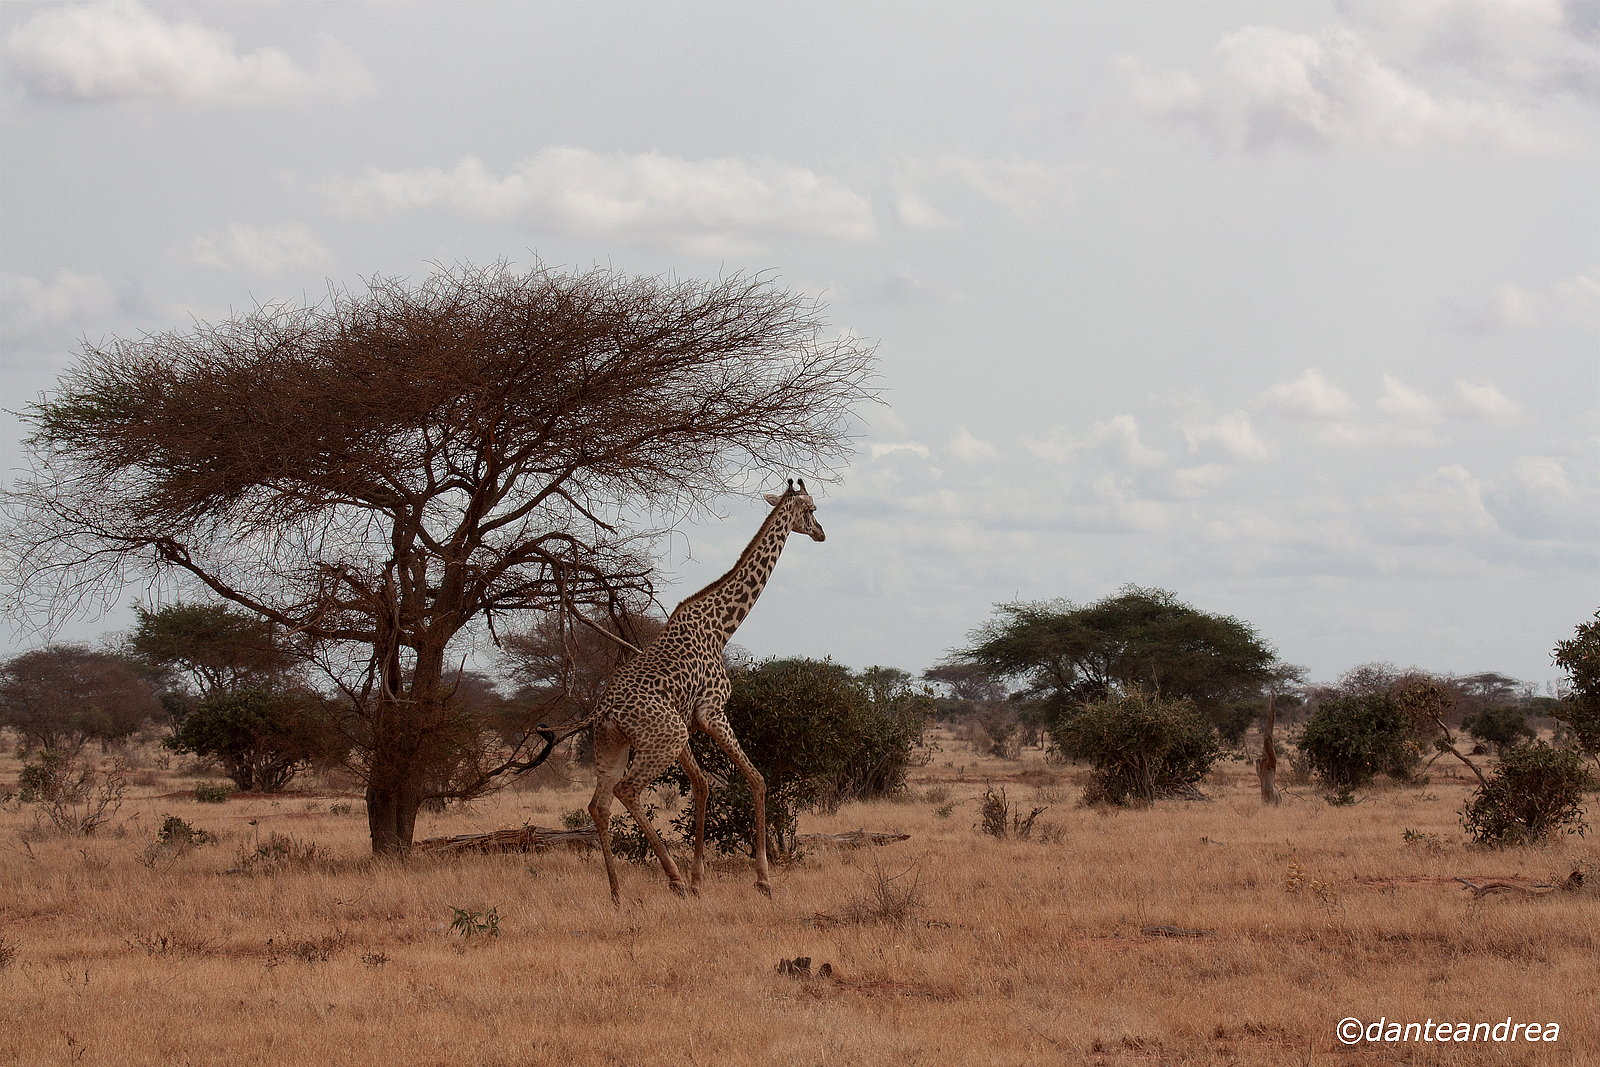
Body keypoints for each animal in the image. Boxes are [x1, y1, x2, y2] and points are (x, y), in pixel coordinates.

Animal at [534, 479, 825, 903]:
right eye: (811, 508)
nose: (822, 533)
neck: (722, 627)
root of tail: (602, 709)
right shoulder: (711, 711)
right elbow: (756, 779)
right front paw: (761, 879)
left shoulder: (690, 722)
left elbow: (702, 786)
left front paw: (700, 877)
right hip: (663, 738)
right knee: (626, 790)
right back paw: (672, 878)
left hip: (615, 744)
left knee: (598, 804)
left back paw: (618, 893)